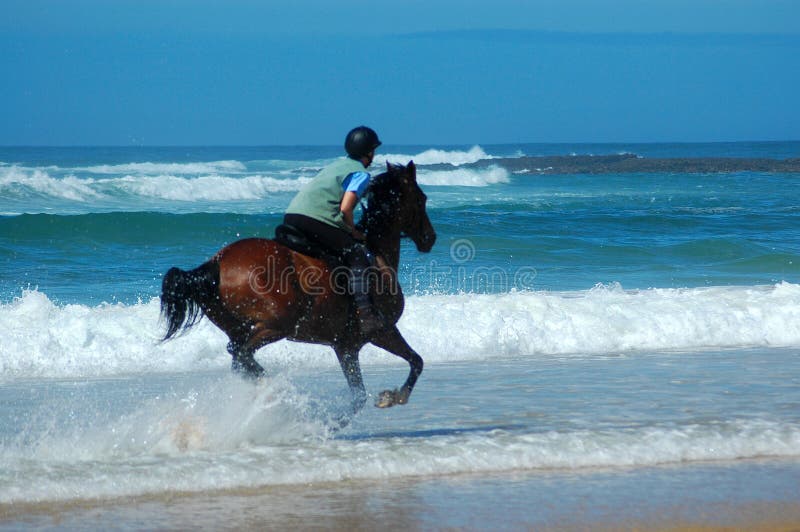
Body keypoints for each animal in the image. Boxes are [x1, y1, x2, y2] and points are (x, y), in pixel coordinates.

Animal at [161, 162, 438, 412]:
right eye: (421, 198)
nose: (430, 238)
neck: (376, 253)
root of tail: (216, 262)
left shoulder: (346, 347)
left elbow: (361, 394)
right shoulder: (382, 331)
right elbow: (416, 361)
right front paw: (394, 396)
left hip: (240, 328)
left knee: (239, 357)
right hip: (276, 325)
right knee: (241, 356)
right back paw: (278, 391)